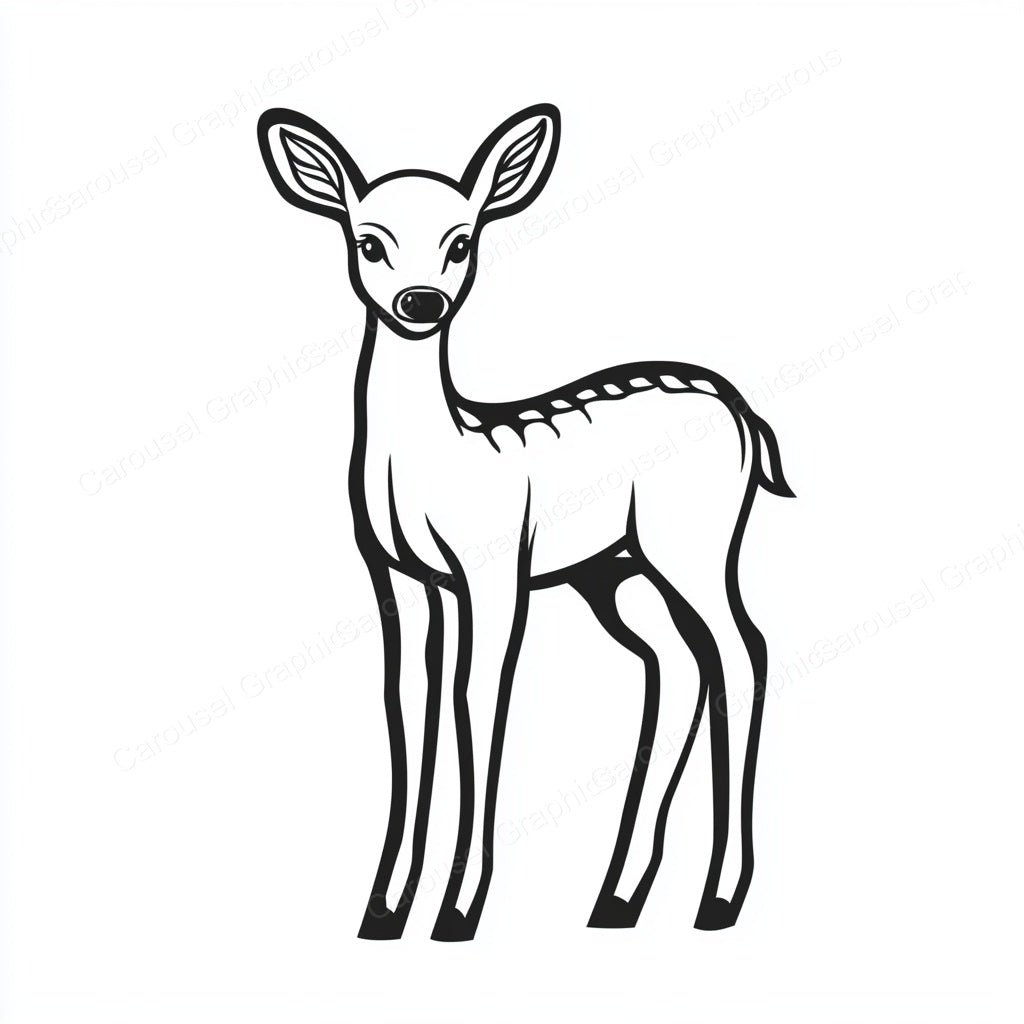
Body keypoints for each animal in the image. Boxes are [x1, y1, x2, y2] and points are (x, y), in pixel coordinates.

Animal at [257, 102, 794, 942]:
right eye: (368, 240)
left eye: (462, 240)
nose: (421, 303)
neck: (437, 455)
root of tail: (747, 417)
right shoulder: (397, 575)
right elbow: (409, 703)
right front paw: (384, 911)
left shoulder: (494, 564)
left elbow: (479, 698)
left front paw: (457, 911)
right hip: (615, 572)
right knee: (677, 664)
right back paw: (617, 900)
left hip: (695, 540)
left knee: (743, 651)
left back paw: (718, 898)